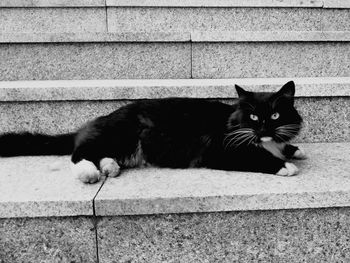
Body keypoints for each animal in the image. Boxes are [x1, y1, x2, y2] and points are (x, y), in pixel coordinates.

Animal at [0, 80, 306, 184]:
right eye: (254, 116)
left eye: (275, 115)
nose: (264, 129)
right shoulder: (221, 150)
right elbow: (256, 157)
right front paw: (285, 166)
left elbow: (286, 146)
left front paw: (294, 149)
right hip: (121, 134)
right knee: (79, 153)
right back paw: (89, 173)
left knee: (101, 154)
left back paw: (109, 168)